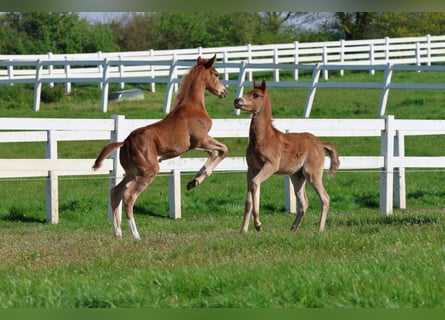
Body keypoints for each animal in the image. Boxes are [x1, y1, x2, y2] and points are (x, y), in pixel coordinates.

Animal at [92, 55, 227, 239]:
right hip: (148, 171)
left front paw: (193, 181)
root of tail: (125, 141)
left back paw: (118, 233)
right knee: (128, 196)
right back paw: (135, 235)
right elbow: (222, 149)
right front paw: (195, 181)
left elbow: (216, 152)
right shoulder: (201, 141)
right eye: (216, 73)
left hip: (133, 172)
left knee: (115, 192)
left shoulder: (199, 145)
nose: (224, 92)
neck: (192, 108)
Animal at [234, 79, 338, 234]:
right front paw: (243, 230)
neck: (264, 138)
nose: (237, 101)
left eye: (256, 95)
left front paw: (258, 225)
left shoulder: (270, 165)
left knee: (325, 198)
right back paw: (293, 228)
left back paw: (320, 229)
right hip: (297, 176)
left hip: (312, 173)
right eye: (248, 92)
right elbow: (249, 199)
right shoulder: (251, 169)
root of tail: (320, 143)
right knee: (304, 202)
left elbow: (255, 183)